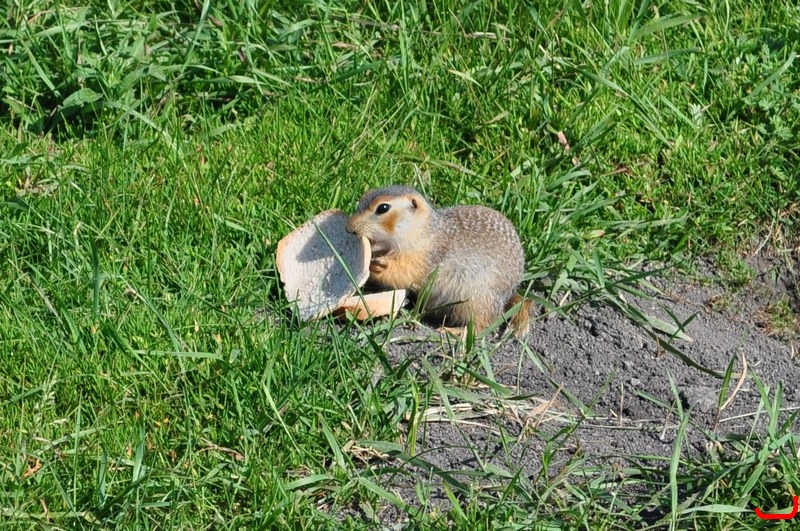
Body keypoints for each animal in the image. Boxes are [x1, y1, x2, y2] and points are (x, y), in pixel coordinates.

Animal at [346, 185, 532, 336]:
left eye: (383, 207)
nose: (349, 228)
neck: (424, 231)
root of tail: (510, 294)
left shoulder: (423, 256)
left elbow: (405, 274)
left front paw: (377, 266)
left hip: (478, 299)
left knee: (483, 325)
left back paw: (455, 331)